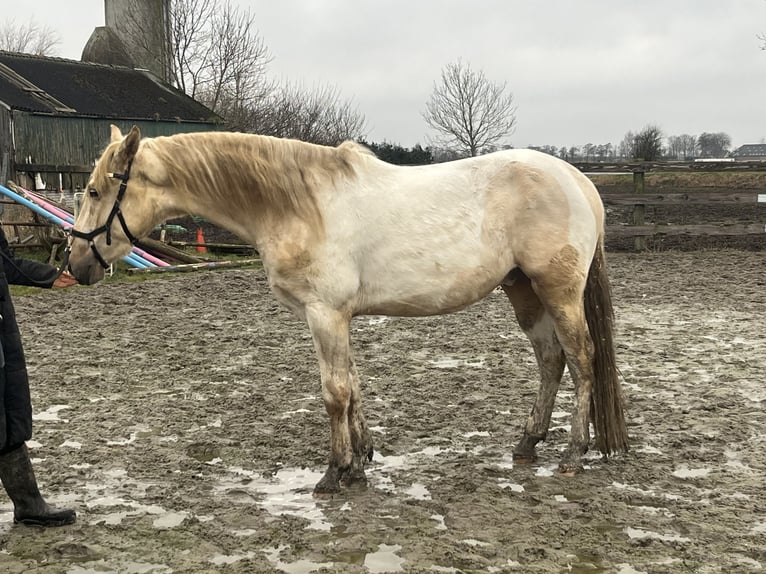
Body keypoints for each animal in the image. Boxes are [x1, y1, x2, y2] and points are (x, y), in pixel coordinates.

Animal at [67, 126, 632, 496]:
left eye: (94, 190)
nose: (76, 264)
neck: (295, 204)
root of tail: (578, 181)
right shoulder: (340, 318)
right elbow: (354, 386)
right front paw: (361, 462)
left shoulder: (325, 314)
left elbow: (334, 393)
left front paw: (335, 472)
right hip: (524, 292)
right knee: (550, 360)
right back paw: (528, 442)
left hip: (557, 290)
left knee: (582, 358)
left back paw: (573, 454)